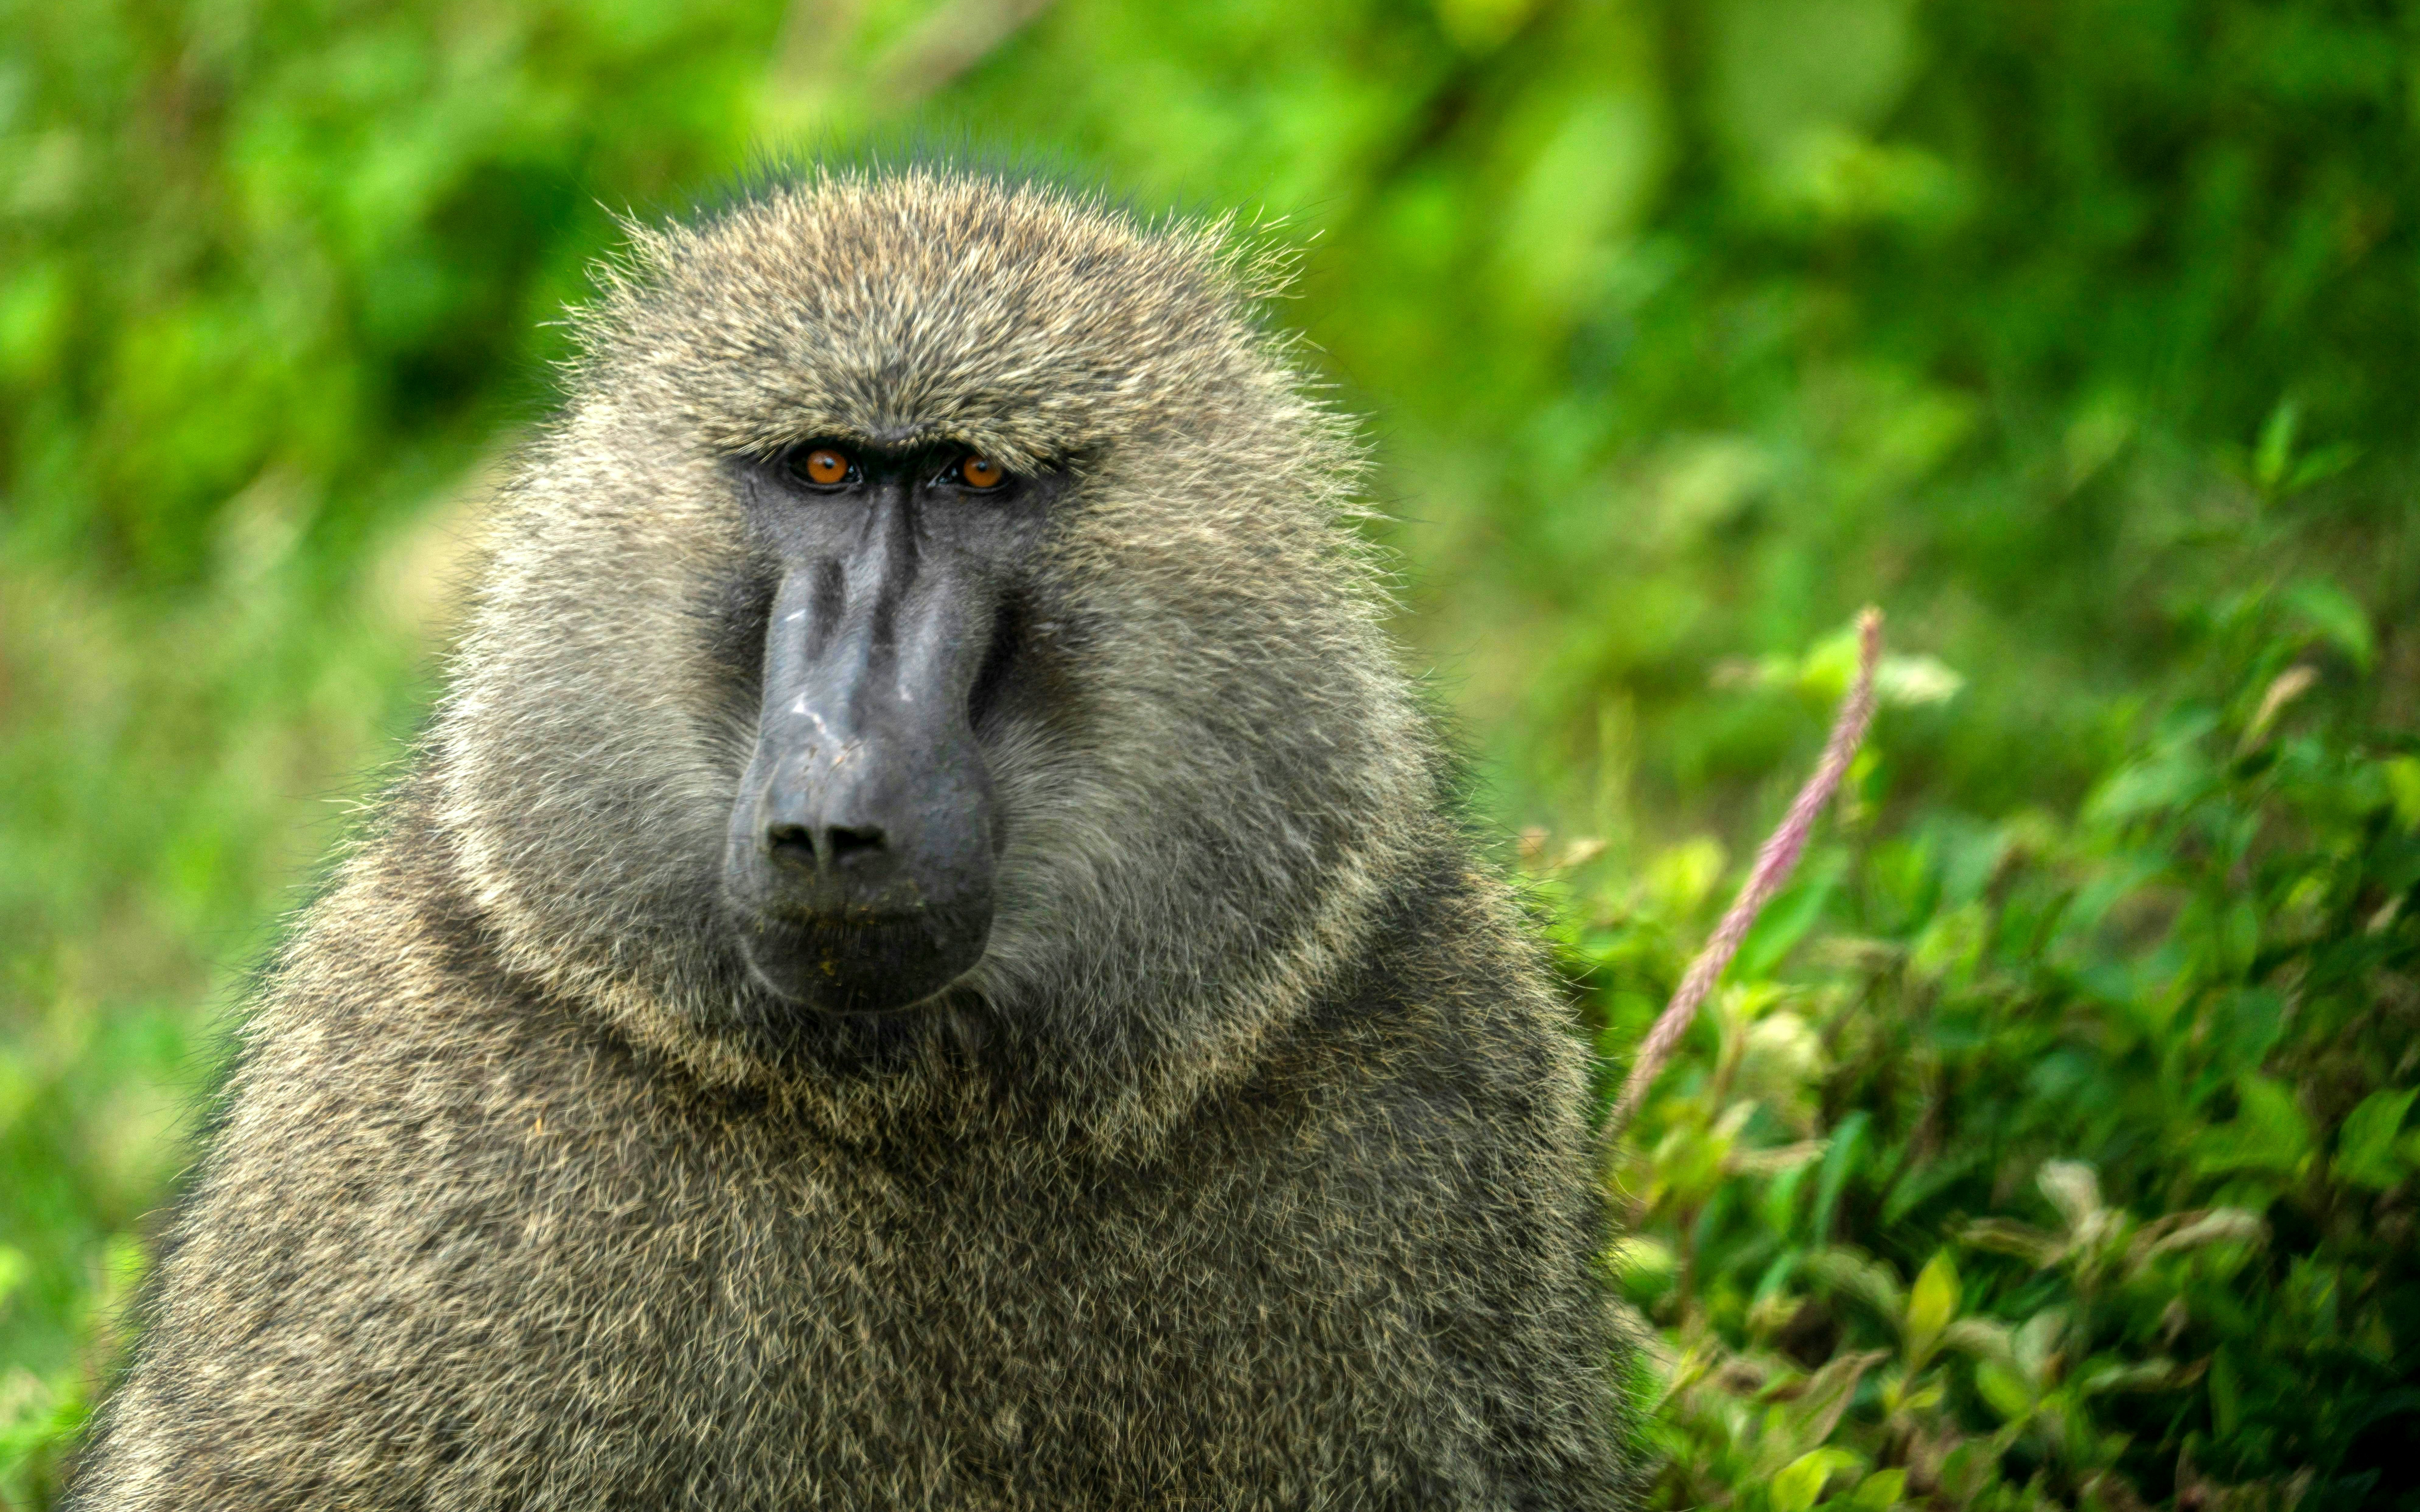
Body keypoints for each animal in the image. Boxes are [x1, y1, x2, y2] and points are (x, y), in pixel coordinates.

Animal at [64, 168, 1632, 1510]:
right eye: (822, 469)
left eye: (969, 480)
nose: (833, 814)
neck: (927, 1102)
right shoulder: (408, 1129)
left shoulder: (1429, 1073)